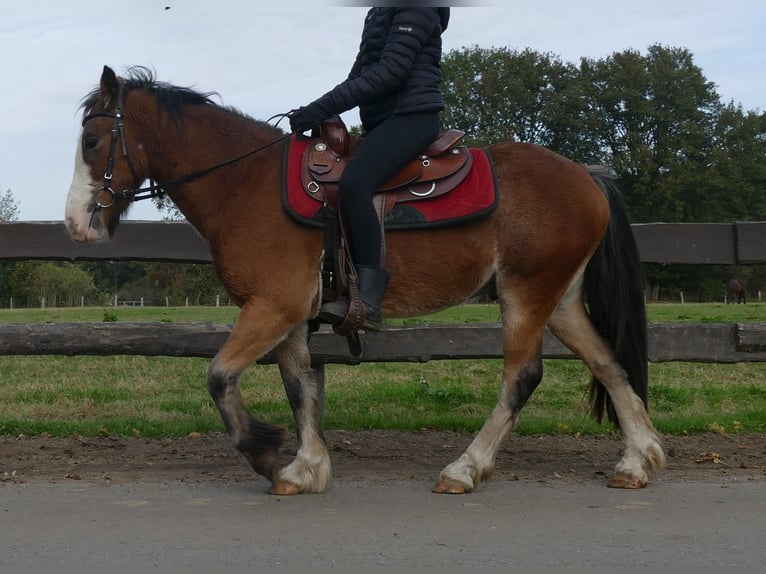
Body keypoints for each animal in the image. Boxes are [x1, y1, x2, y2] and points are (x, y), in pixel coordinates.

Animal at [66, 66, 664, 496]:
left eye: (92, 141)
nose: (76, 223)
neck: (244, 183)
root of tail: (588, 174)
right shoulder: (289, 316)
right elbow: (299, 387)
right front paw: (306, 468)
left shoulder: (272, 306)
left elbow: (219, 377)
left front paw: (264, 452)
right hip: (559, 300)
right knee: (609, 363)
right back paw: (637, 460)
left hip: (527, 294)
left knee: (521, 378)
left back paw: (465, 468)